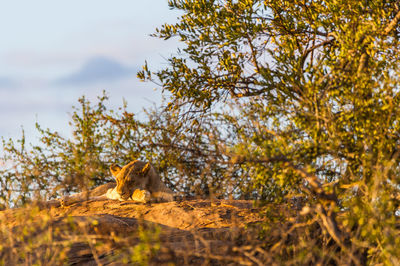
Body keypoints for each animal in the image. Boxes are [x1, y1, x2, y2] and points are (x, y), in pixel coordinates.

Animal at [43, 159, 173, 207]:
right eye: (118, 180)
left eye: (131, 181)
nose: (120, 192)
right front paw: (143, 194)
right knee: (84, 195)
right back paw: (61, 200)